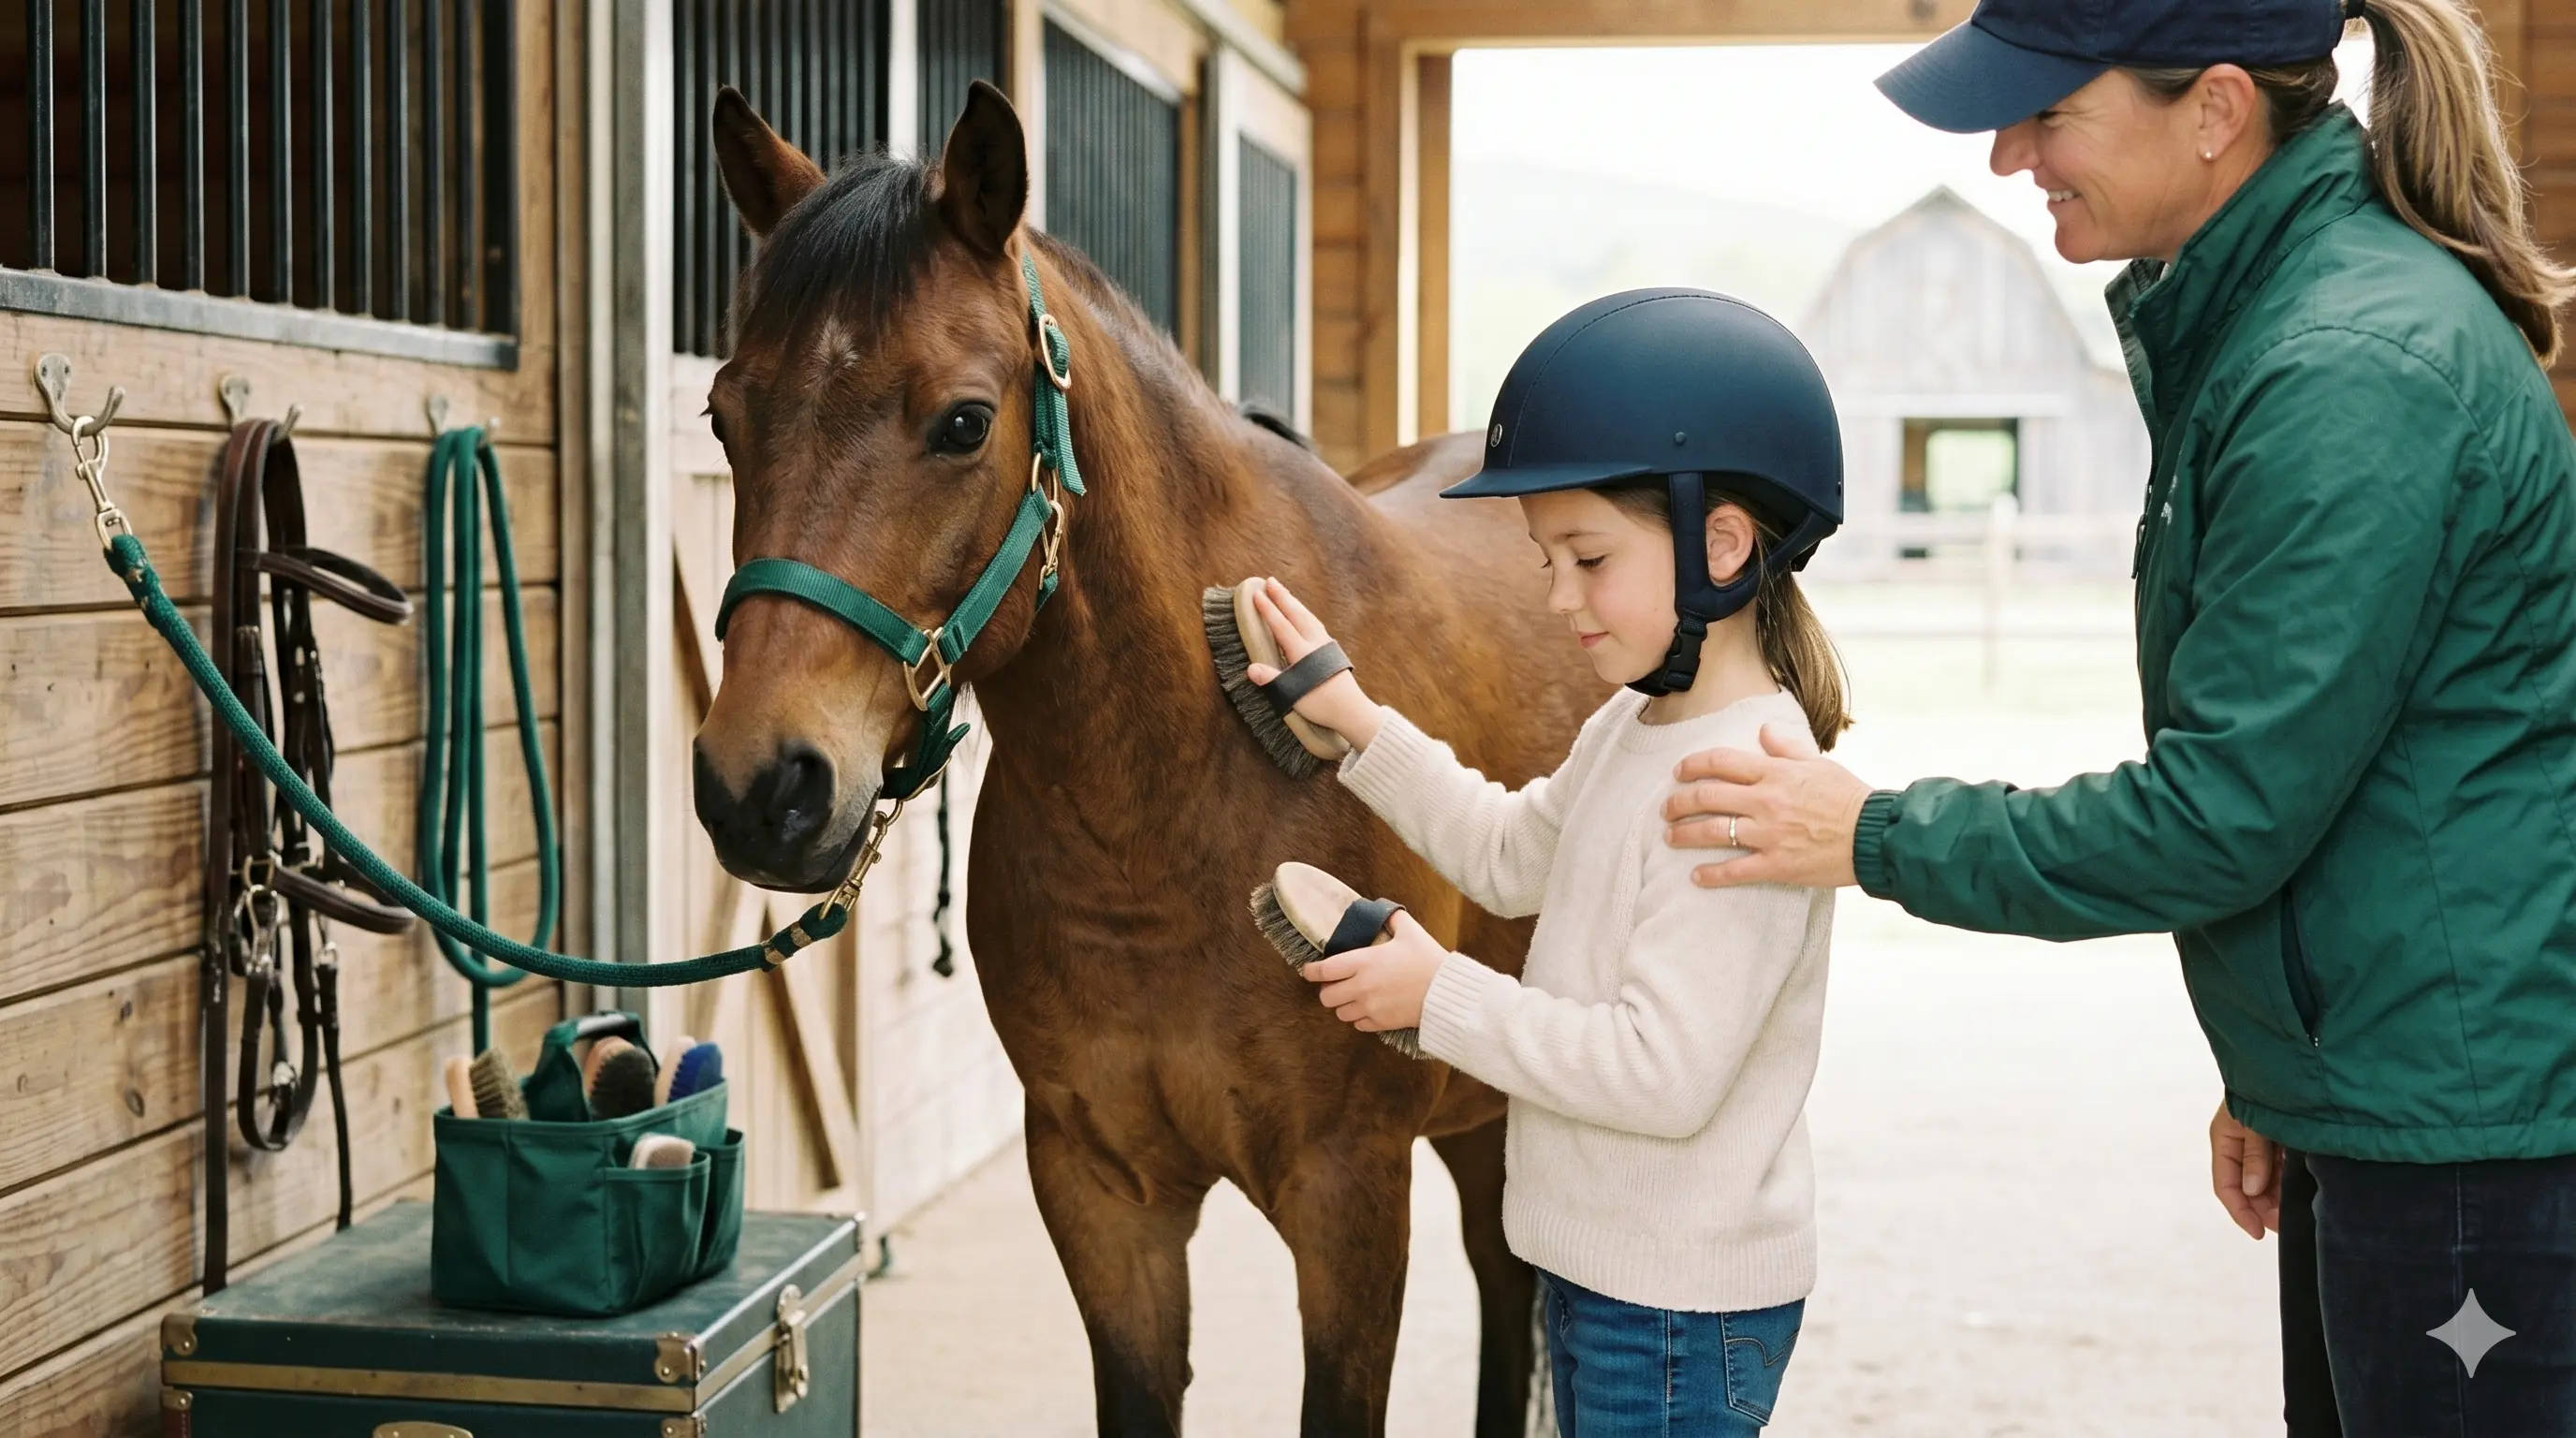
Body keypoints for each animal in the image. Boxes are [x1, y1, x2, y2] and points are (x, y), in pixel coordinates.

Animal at [694, 80, 1606, 1436]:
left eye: (963, 423)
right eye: (723, 416)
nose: (761, 788)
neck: (1178, 798)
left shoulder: (1349, 1197)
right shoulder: (1102, 1194)